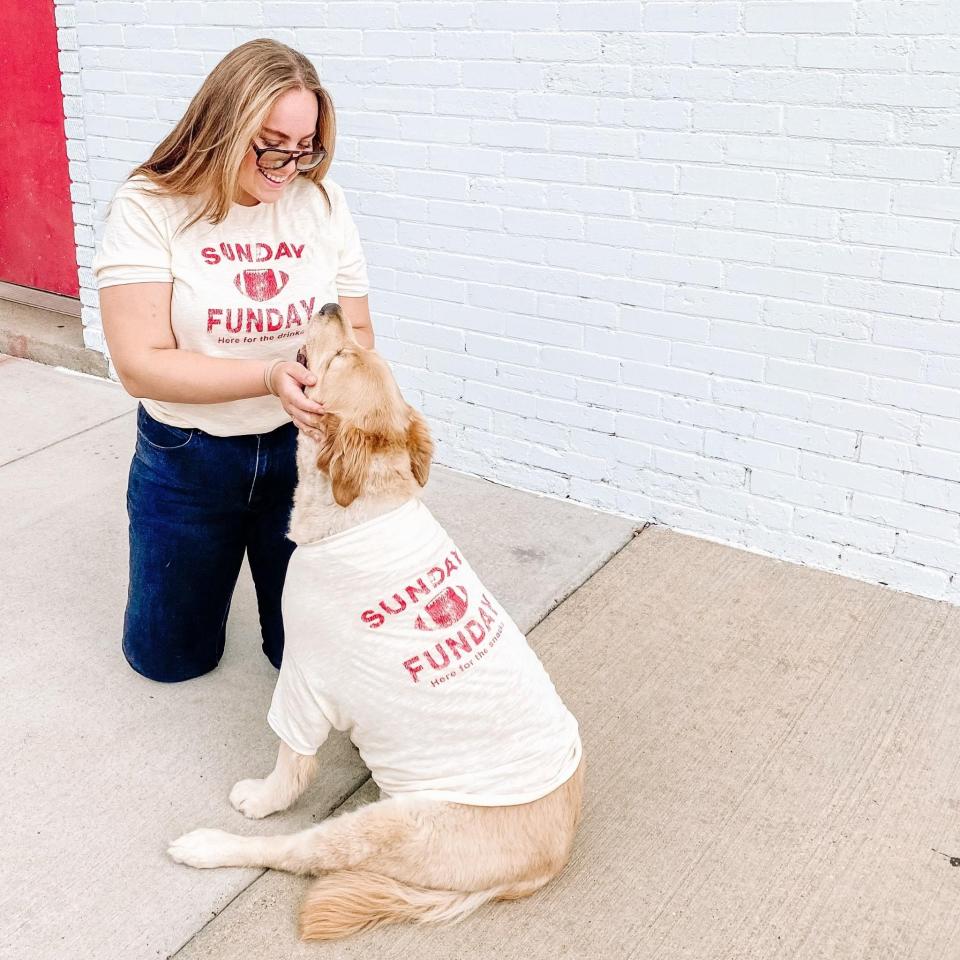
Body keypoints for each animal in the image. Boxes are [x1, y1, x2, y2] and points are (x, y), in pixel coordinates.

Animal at [168, 304, 580, 940]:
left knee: (292, 852)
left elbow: (292, 764)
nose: (332, 305)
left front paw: (264, 796)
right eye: (355, 347)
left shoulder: (303, 676)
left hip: (384, 828)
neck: (361, 509)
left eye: (341, 355)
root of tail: (542, 868)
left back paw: (208, 845)